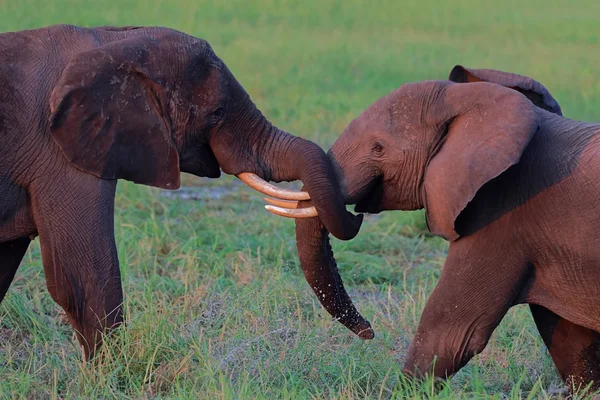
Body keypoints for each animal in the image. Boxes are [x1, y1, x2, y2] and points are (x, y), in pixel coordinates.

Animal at [0, 25, 370, 360]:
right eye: (217, 113)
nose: (370, 332)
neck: (111, 41)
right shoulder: (61, 155)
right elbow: (83, 278)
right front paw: (114, 379)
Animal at [264, 66, 600, 390]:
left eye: (378, 148)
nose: (369, 331)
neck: (471, 102)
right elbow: (570, 340)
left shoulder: (503, 214)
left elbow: (450, 333)